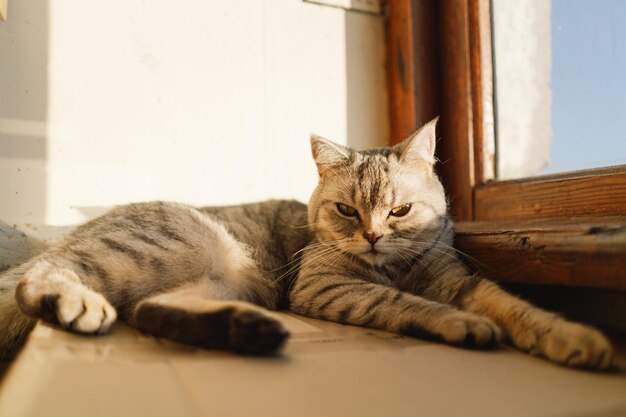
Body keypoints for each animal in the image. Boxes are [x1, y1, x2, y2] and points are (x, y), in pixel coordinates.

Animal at [0, 118, 612, 368]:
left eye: (399, 211)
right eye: (347, 211)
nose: (373, 234)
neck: (398, 265)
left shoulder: (460, 282)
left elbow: (516, 308)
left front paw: (575, 338)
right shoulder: (328, 288)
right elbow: (404, 303)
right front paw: (460, 325)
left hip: (207, 283)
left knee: (150, 312)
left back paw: (249, 333)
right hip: (159, 245)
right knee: (43, 277)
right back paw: (75, 302)